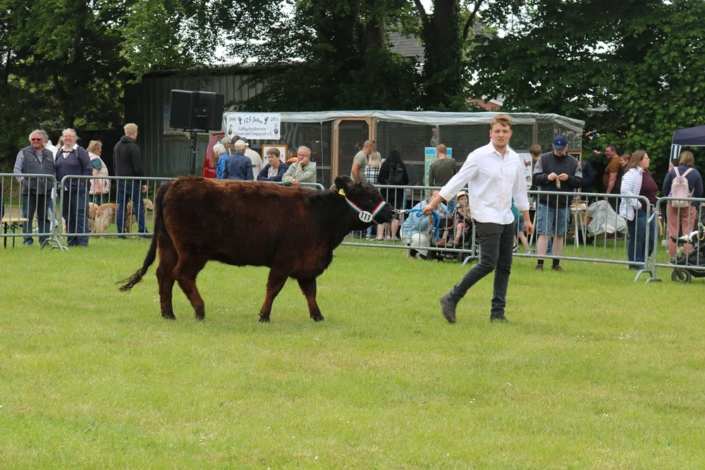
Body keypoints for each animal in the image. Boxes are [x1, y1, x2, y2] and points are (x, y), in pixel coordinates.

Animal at [119, 176, 394, 322]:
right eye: (368, 196)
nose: (392, 212)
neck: (321, 215)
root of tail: (174, 182)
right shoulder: (285, 259)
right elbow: (274, 287)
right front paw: (264, 315)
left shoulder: (307, 263)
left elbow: (311, 292)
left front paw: (317, 316)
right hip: (193, 251)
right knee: (182, 275)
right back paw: (199, 309)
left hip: (168, 245)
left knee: (164, 274)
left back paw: (168, 313)